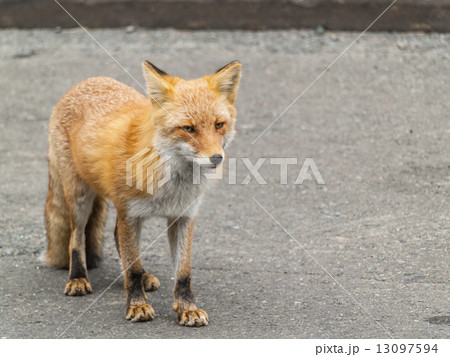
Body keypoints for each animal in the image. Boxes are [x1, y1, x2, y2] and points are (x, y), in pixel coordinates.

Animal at [44, 59, 243, 326]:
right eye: (188, 128)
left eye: (219, 125)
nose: (216, 158)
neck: (170, 182)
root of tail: (86, 81)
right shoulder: (129, 213)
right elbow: (133, 268)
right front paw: (137, 306)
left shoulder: (183, 216)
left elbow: (183, 272)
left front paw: (187, 308)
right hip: (79, 198)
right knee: (77, 237)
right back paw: (77, 278)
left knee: (116, 238)